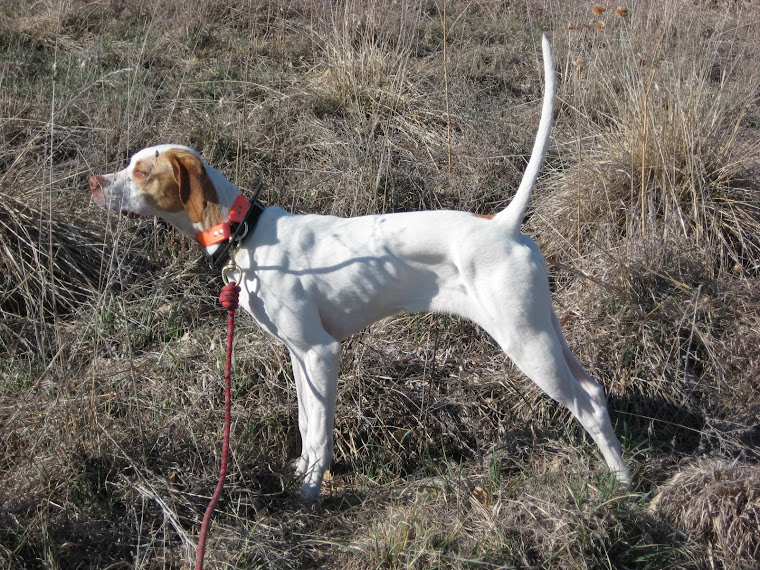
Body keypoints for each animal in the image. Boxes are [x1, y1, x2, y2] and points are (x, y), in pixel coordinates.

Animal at [90, 34, 628, 496]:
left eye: (142, 171)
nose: (94, 183)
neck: (248, 232)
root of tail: (503, 223)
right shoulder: (300, 354)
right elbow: (306, 422)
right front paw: (302, 471)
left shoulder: (321, 352)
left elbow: (322, 434)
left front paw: (310, 492)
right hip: (544, 329)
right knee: (596, 391)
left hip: (525, 342)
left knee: (586, 406)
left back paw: (622, 484)